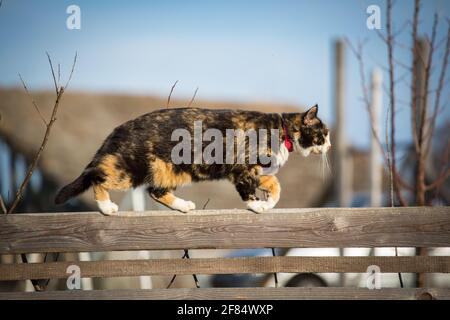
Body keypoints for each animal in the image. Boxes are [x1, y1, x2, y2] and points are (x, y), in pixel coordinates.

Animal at [55, 105, 330, 215]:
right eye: (324, 133)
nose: (329, 144)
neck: (282, 130)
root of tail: (118, 130)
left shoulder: (253, 172)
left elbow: (275, 184)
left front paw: (269, 201)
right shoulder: (242, 170)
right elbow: (250, 191)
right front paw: (257, 206)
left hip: (171, 170)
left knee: (155, 191)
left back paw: (183, 205)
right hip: (128, 169)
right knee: (96, 176)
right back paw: (107, 207)